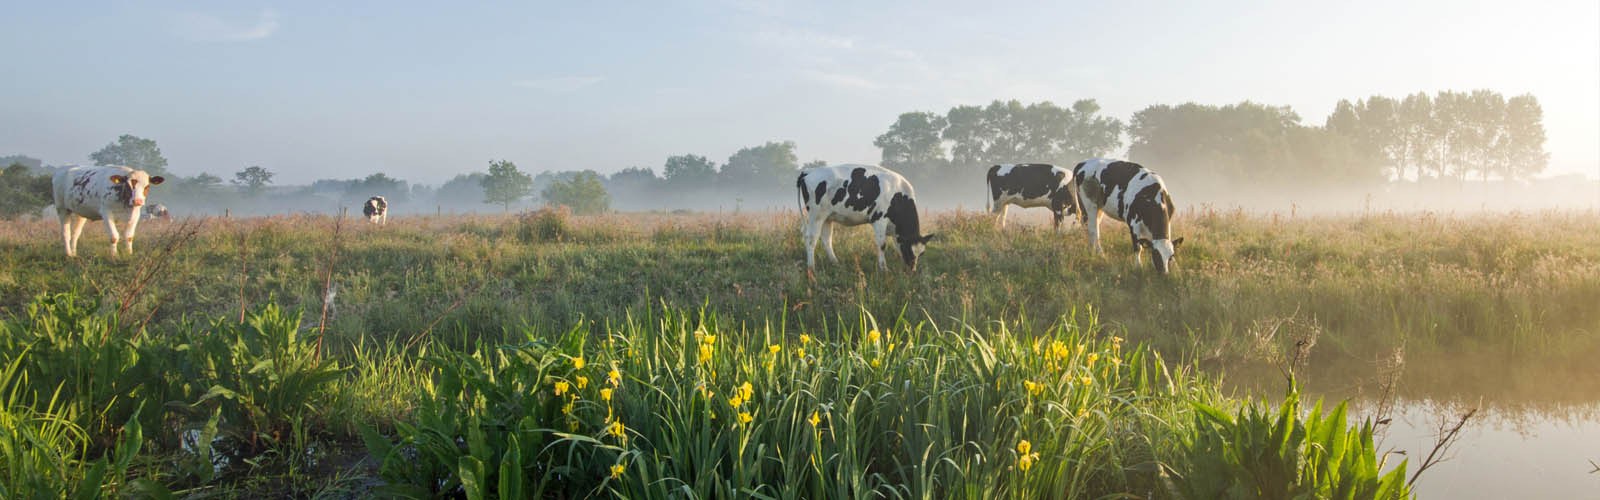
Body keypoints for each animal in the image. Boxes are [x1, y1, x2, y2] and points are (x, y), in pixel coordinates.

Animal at [790, 164, 934, 270]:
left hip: (827, 217)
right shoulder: (879, 219)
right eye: (909, 250)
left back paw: (835, 262)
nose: (912, 269)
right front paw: (884, 268)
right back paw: (811, 267)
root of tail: (808, 171)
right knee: (811, 238)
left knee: (826, 239)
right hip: (816, 215)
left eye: (922, 253)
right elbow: (882, 244)